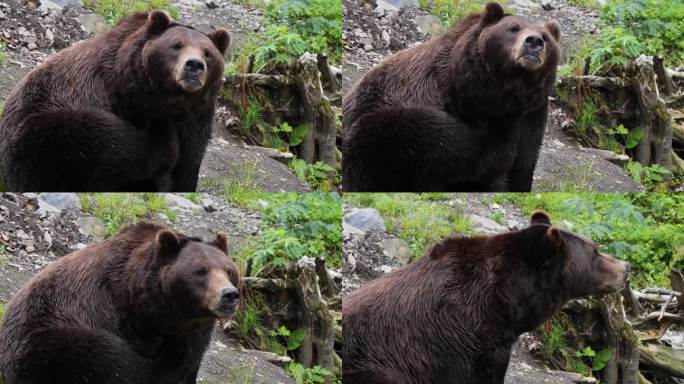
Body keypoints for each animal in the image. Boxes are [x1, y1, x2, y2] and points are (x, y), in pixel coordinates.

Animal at [0, 10, 230, 192]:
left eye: (208, 53)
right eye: (176, 45)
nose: (194, 65)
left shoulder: (196, 119)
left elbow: (189, 161)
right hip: (37, 128)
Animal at [0, 222, 240, 384]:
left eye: (229, 270)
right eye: (200, 270)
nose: (229, 294)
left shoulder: (196, 333)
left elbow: (190, 360)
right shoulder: (122, 318)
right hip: (50, 340)